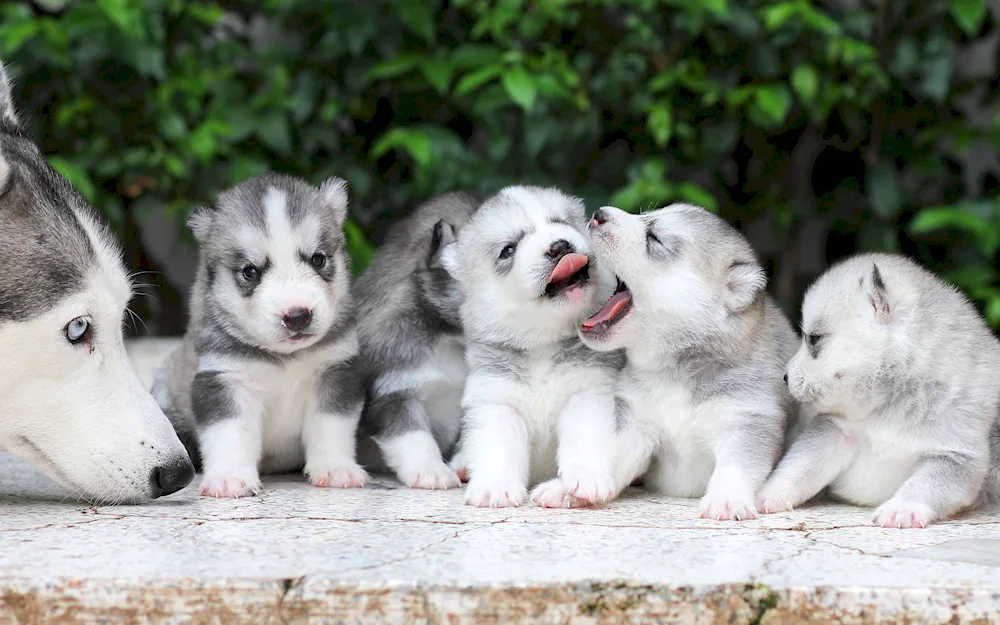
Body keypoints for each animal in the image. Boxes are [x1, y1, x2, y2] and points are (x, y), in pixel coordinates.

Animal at [152, 174, 364, 498]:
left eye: (318, 259)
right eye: (250, 272)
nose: (297, 316)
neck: (286, 358)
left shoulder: (334, 372)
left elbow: (331, 426)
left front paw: (335, 468)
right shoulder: (225, 380)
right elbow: (231, 433)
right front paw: (230, 477)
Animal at [440, 185, 620, 508]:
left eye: (561, 222)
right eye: (508, 250)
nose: (559, 246)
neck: (541, 342)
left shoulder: (589, 390)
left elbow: (585, 435)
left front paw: (587, 478)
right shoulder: (496, 399)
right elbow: (498, 444)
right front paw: (494, 487)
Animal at [580, 202, 796, 520]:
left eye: (655, 239)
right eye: (644, 215)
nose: (599, 214)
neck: (677, 369)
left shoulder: (748, 422)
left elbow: (736, 468)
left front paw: (726, 499)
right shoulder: (636, 424)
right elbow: (614, 454)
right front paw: (577, 483)